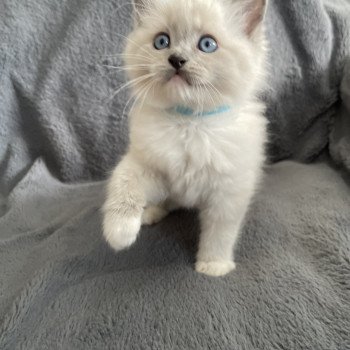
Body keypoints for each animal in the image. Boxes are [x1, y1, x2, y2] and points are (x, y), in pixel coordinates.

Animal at [102, 0, 266, 276]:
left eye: (207, 44)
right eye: (161, 42)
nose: (176, 60)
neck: (190, 123)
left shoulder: (227, 193)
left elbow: (220, 234)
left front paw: (213, 266)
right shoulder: (152, 169)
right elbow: (124, 184)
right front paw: (120, 232)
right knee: (165, 202)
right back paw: (149, 214)